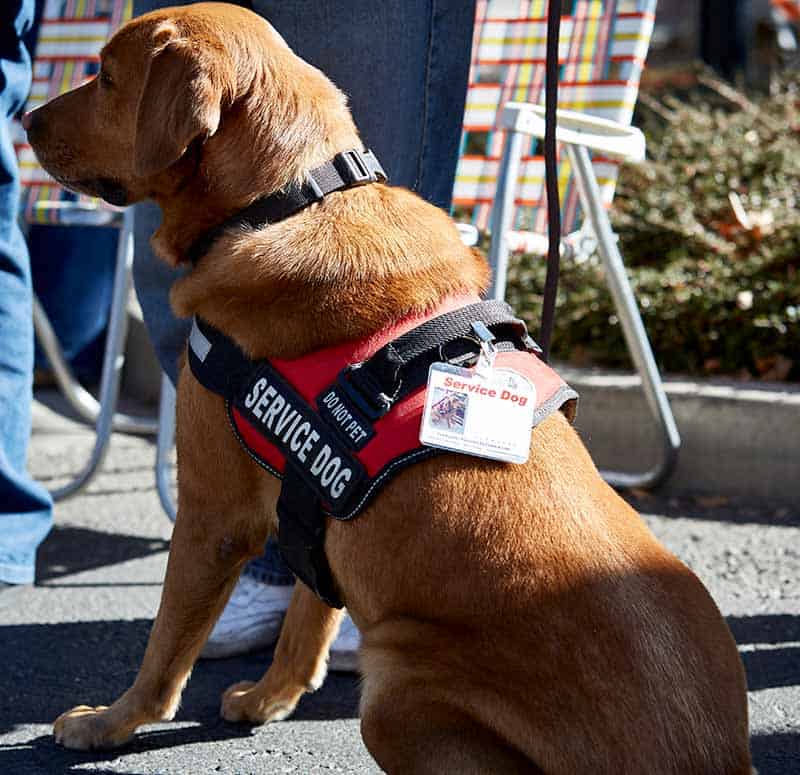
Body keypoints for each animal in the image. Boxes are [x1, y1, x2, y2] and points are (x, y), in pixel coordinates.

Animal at [25, 3, 752, 772]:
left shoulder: (213, 515)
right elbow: (306, 619)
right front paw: (270, 697)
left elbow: (165, 649)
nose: (26, 119)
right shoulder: (316, 501)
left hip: (396, 684)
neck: (287, 199)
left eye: (106, 76)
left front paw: (112, 722)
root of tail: (706, 756)